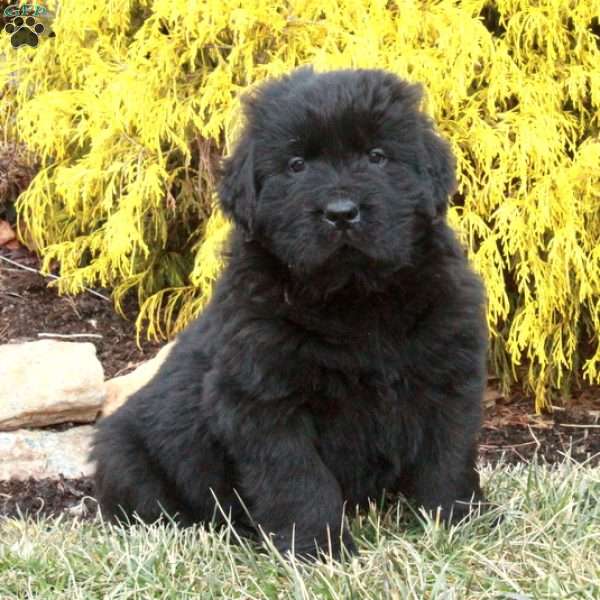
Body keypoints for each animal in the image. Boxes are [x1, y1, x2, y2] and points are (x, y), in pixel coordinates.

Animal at [92, 68, 488, 560]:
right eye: (297, 165)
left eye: (377, 157)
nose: (341, 213)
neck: (354, 300)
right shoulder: (263, 397)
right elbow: (298, 478)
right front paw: (320, 549)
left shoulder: (448, 372)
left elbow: (447, 455)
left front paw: (455, 521)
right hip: (124, 455)